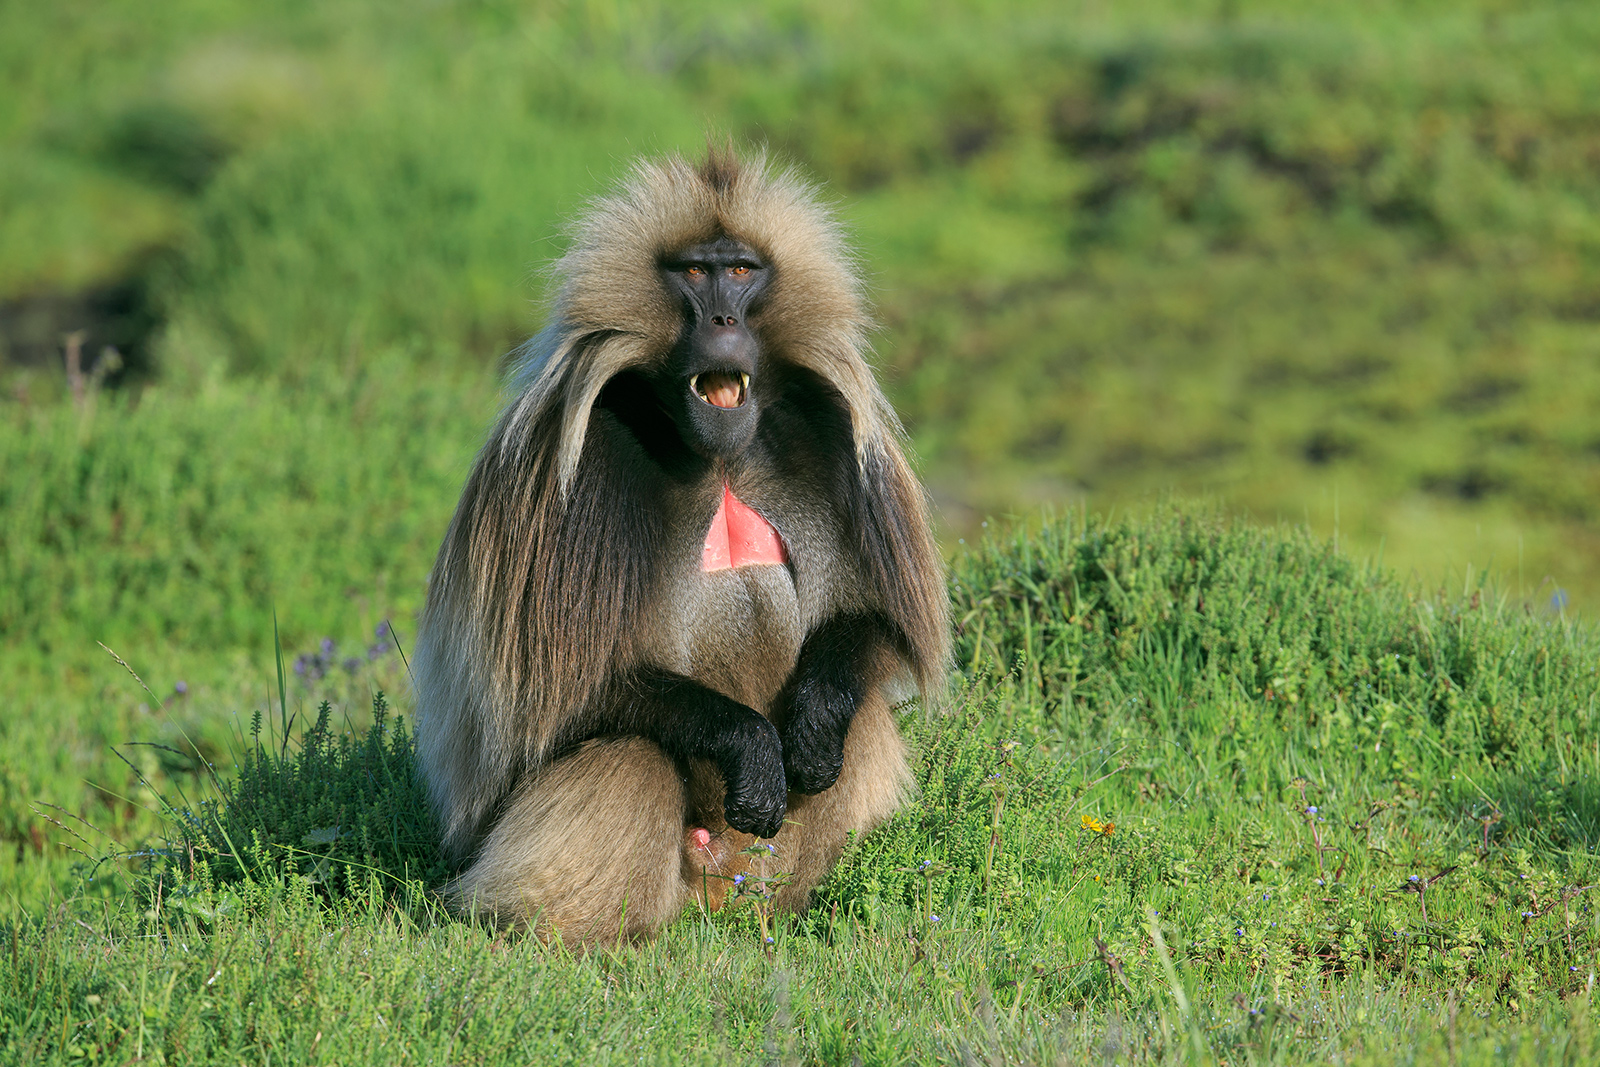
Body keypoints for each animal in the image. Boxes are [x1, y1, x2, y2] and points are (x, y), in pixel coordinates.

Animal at [410, 147, 950, 946]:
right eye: (694, 272)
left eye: (743, 270)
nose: (724, 319)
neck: (718, 457)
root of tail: (725, 895)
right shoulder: (568, 464)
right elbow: (565, 689)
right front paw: (751, 747)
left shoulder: (831, 433)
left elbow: (871, 623)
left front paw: (813, 725)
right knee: (630, 751)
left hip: (770, 866)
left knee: (862, 717)